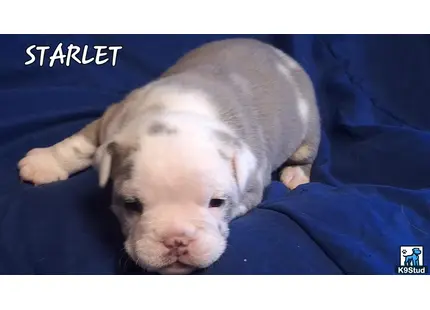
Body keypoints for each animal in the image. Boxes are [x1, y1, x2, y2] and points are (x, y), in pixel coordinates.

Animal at [17, 38, 320, 274]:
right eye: (132, 205)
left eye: (217, 203)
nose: (176, 240)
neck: (176, 113)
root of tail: (276, 52)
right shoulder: (110, 121)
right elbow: (78, 145)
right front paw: (43, 163)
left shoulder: (252, 188)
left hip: (309, 128)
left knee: (306, 153)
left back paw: (296, 175)